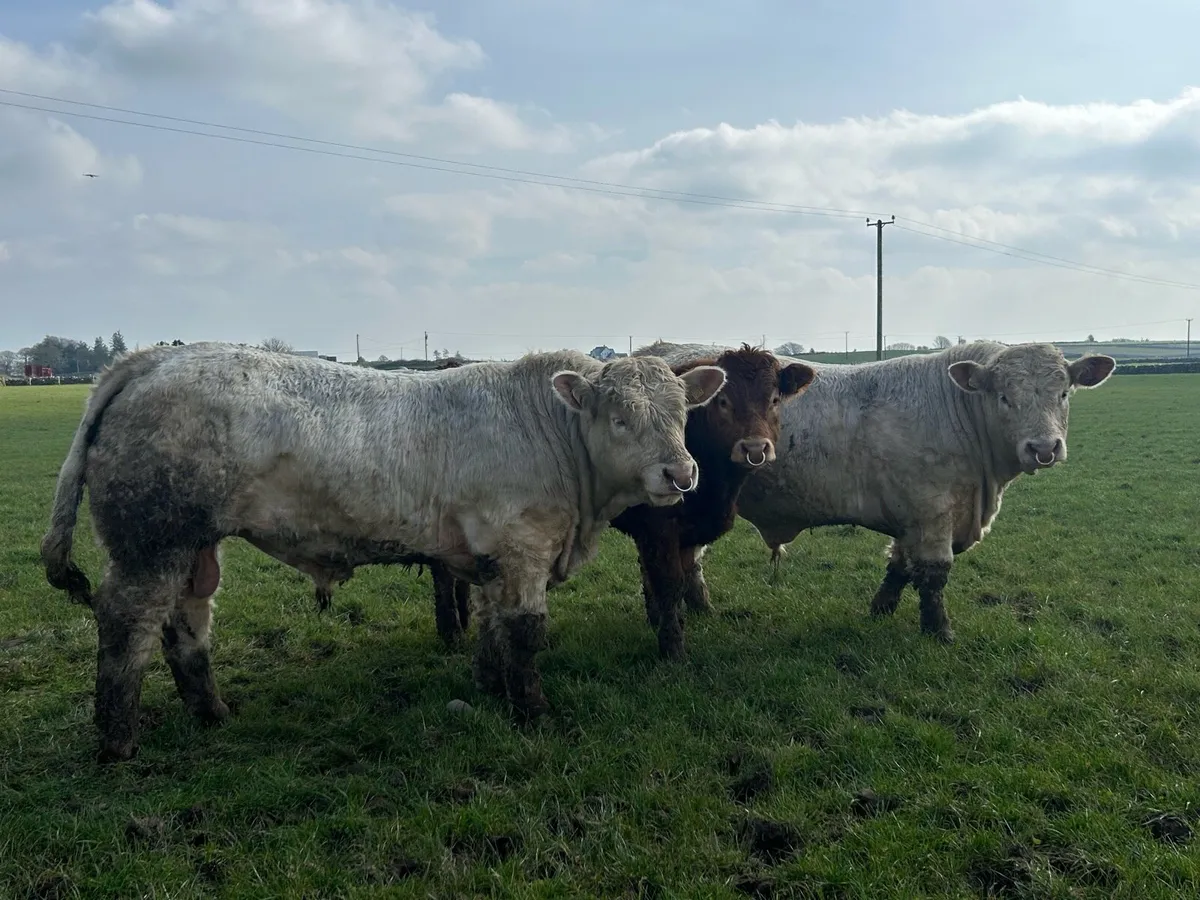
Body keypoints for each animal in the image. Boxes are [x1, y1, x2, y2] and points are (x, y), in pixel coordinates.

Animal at [40, 342, 727, 762]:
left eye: (682, 414)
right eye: (620, 418)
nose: (681, 473)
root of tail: (150, 361)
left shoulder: (489, 558)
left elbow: (491, 625)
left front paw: (489, 686)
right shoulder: (524, 547)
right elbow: (527, 631)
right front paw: (531, 709)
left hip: (192, 548)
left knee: (186, 623)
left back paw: (211, 712)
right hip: (151, 541)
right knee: (127, 624)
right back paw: (117, 741)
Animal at [642, 340, 1116, 643]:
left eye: (1064, 392)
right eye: (1004, 397)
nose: (1044, 448)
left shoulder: (913, 517)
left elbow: (900, 566)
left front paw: (881, 609)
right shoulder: (933, 512)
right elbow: (934, 575)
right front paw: (940, 631)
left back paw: (700, 607)